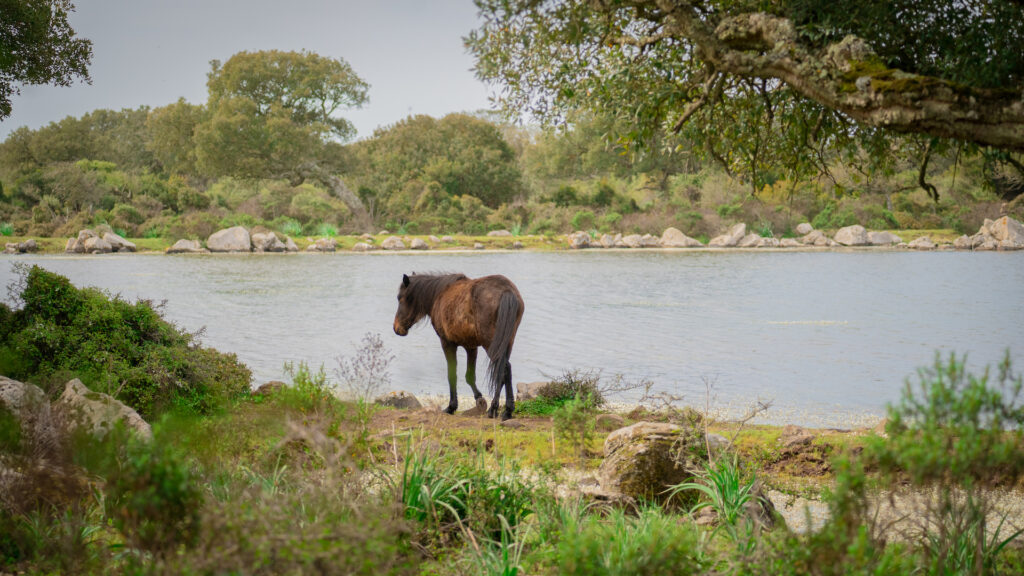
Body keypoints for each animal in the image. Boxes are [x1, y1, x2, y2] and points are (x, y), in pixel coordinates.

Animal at [389, 270, 524, 420]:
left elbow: (452, 374)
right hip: (506, 342)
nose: (396, 328)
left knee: (503, 369)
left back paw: (504, 410)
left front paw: (451, 406)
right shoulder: (471, 347)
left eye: (400, 298)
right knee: (502, 371)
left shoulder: (447, 343)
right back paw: (496, 409)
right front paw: (479, 399)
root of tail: (506, 291)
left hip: (491, 344)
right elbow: (469, 376)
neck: (438, 294)